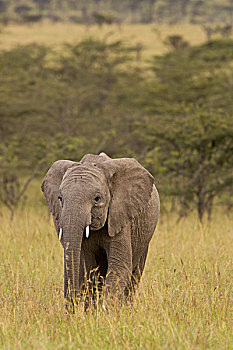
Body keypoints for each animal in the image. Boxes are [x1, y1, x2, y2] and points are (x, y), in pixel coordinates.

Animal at [41, 152, 159, 308]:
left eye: (97, 198)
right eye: (60, 198)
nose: (71, 309)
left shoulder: (120, 217)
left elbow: (119, 267)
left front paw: (105, 310)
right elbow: (85, 269)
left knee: (134, 276)